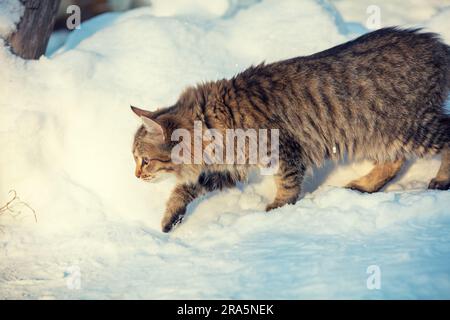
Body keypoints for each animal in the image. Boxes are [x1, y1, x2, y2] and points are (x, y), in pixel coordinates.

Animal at [131, 27, 450, 232]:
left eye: (144, 161)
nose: (135, 175)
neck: (211, 122)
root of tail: (437, 44)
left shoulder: (283, 148)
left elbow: (286, 183)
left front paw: (278, 209)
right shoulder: (229, 167)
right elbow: (183, 189)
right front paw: (170, 217)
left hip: (411, 126)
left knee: (445, 136)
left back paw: (441, 179)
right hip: (380, 134)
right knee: (394, 161)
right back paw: (364, 185)